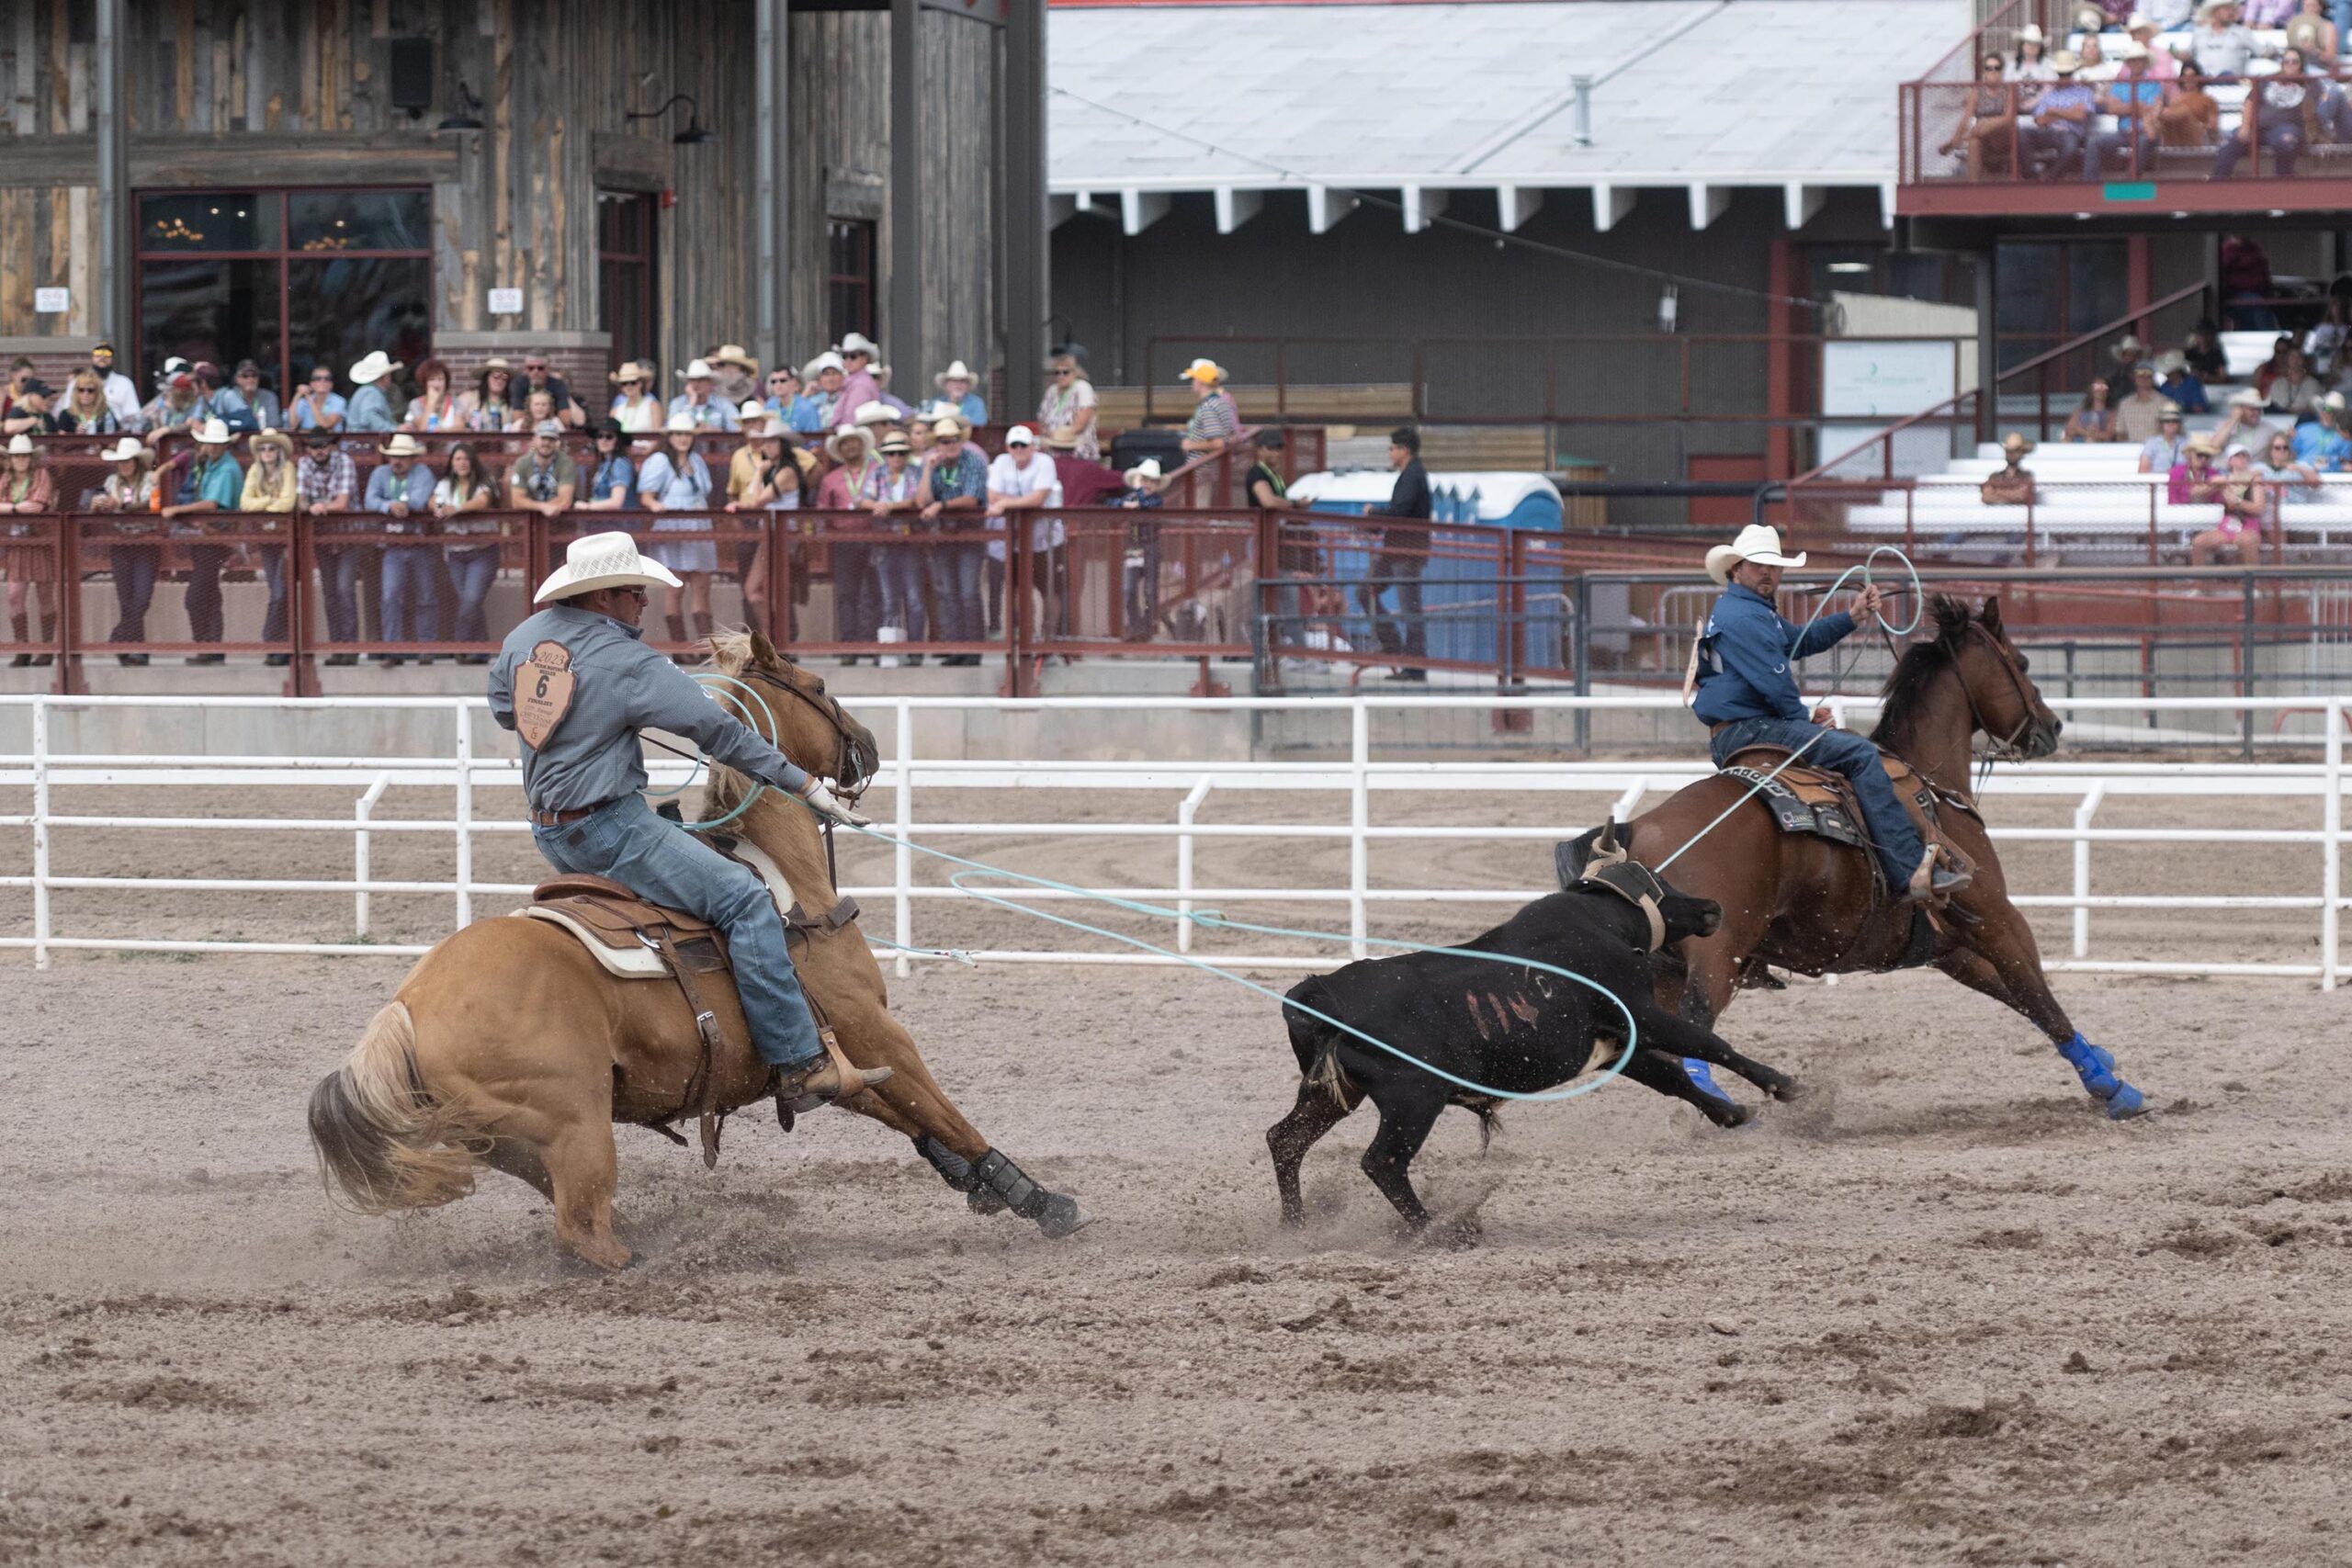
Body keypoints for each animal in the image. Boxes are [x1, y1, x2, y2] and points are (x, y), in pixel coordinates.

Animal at [300, 629, 1091, 1279]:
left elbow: (918, 1121)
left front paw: (1006, 1191)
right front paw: (1048, 1203)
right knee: (581, 1230)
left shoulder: (834, 1056)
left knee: (578, 1219)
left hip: (519, 1143)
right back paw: (661, 1261)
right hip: (576, 1125)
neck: (784, 882)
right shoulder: (872, 1030)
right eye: (818, 685)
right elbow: (947, 1111)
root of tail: (405, 1007)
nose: (867, 743)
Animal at [1561, 594, 2154, 1123]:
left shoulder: (1950, 947)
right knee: (1698, 1025)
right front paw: (2114, 1089)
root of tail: (1636, 831)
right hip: (1717, 956)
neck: (1929, 782)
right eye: (2023, 663)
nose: (2051, 727)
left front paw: (2102, 1061)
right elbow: (2043, 999)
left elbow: (2020, 998)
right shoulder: (1997, 916)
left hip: (1661, 970)